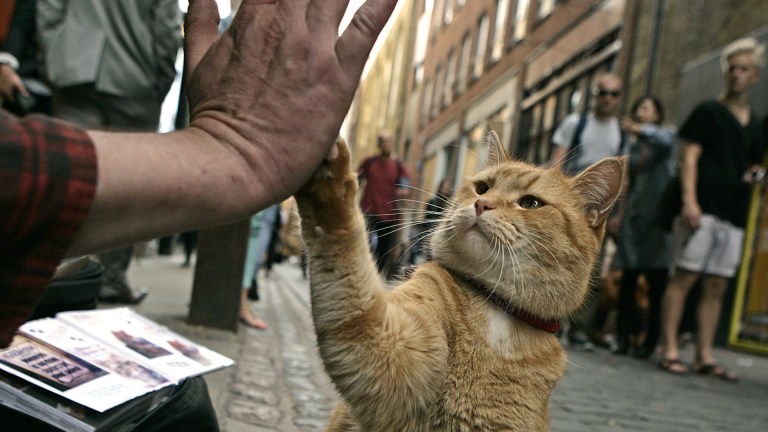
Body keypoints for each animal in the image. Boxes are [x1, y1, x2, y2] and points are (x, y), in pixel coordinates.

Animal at [294, 134, 624, 428]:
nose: (482, 204)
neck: (496, 309)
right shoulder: (385, 351)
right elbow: (342, 240)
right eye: (482, 187)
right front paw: (330, 179)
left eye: (531, 203)